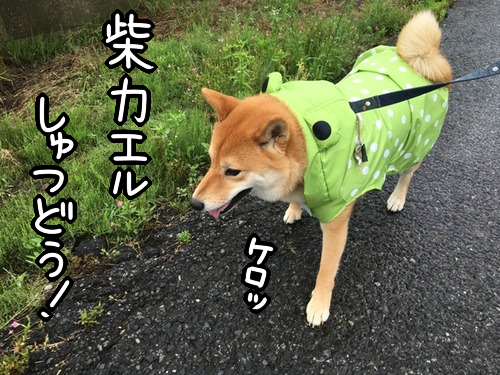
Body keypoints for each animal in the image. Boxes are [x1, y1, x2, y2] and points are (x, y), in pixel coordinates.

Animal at [190, 11, 454, 326]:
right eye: (210, 161)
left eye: (232, 172)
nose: (194, 203)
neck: (311, 144)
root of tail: (417, 60)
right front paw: (293, 209)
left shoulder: (335, 220)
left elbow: (326, 270)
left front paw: (319, 304)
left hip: (414, 148)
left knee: (407, 175)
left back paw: (397, 198)